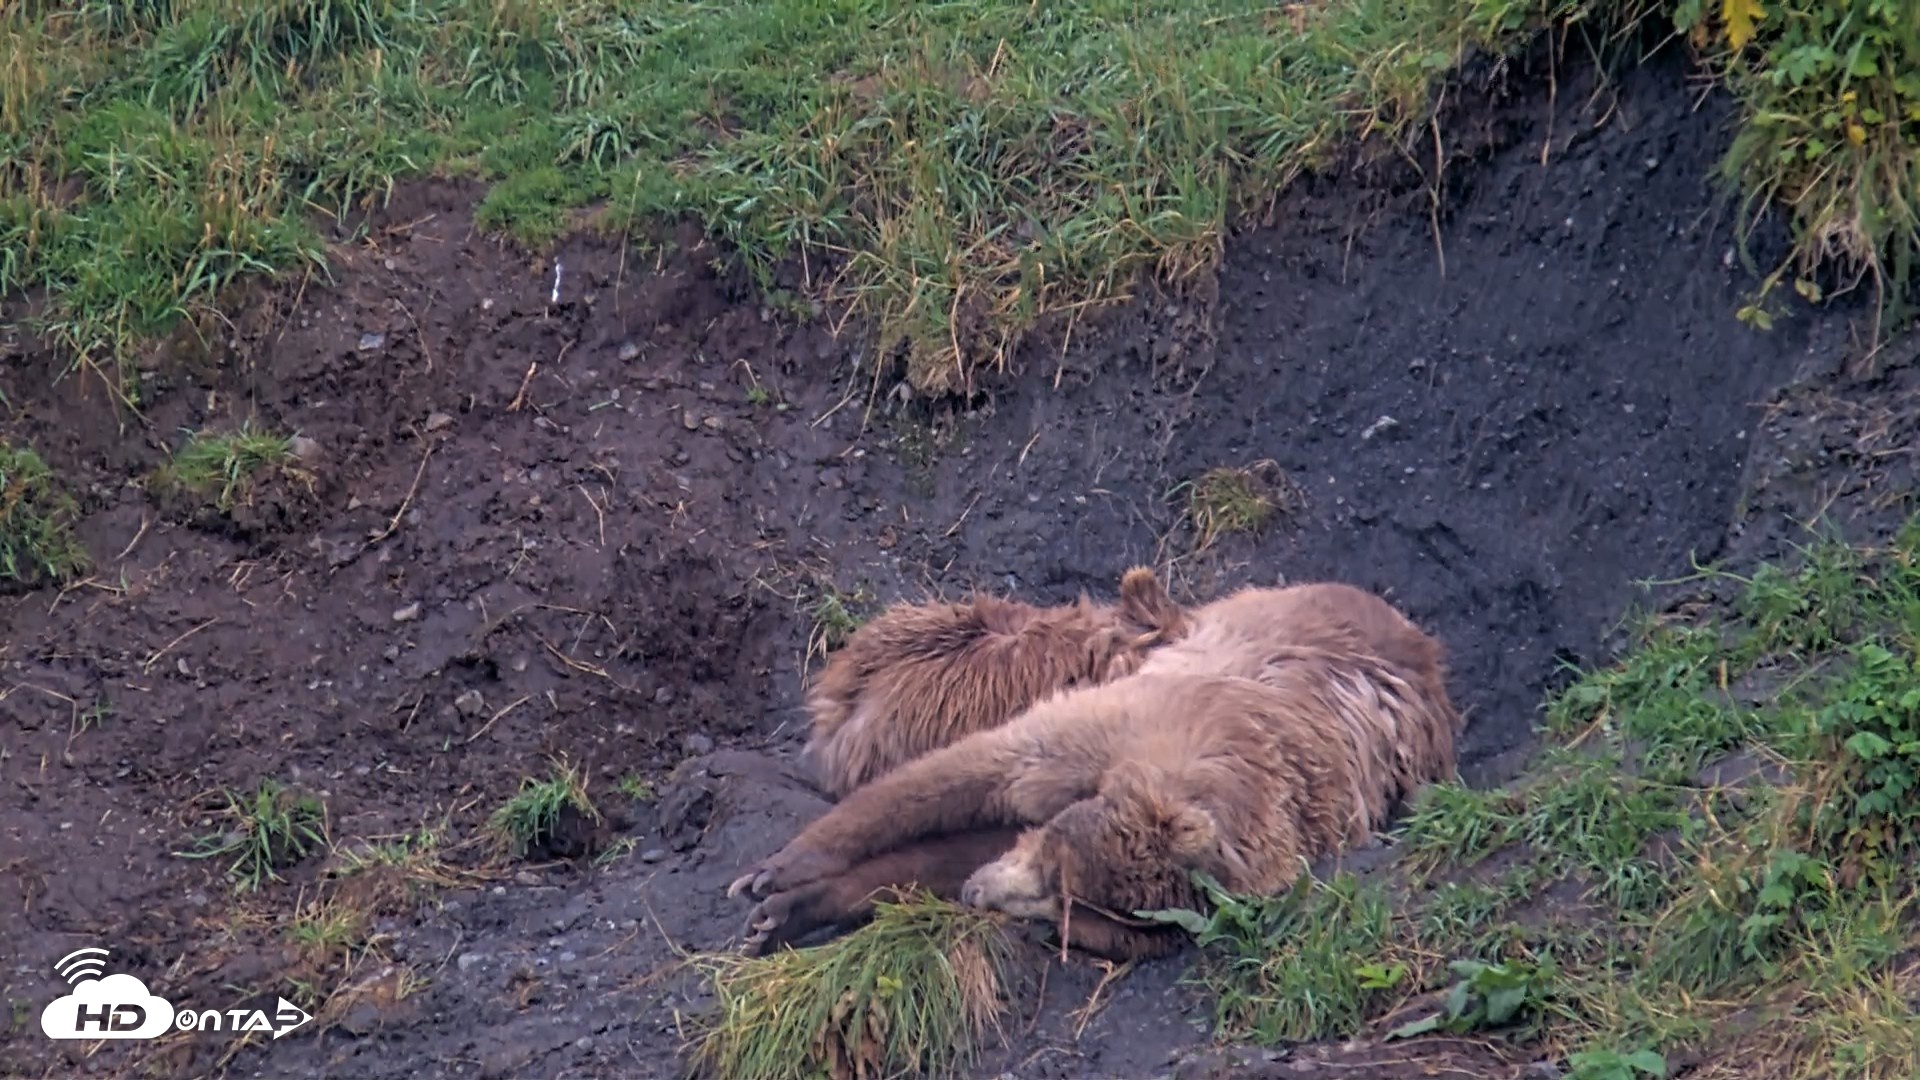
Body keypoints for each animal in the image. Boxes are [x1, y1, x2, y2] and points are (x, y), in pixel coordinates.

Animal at [729, 583, 1460, 962]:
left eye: (1070, 902)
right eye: (1057, 873)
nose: (980, 894)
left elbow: (959, 846)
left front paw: (796, 907)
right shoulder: (1127, 722)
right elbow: (967, 772)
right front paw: (778, 874)